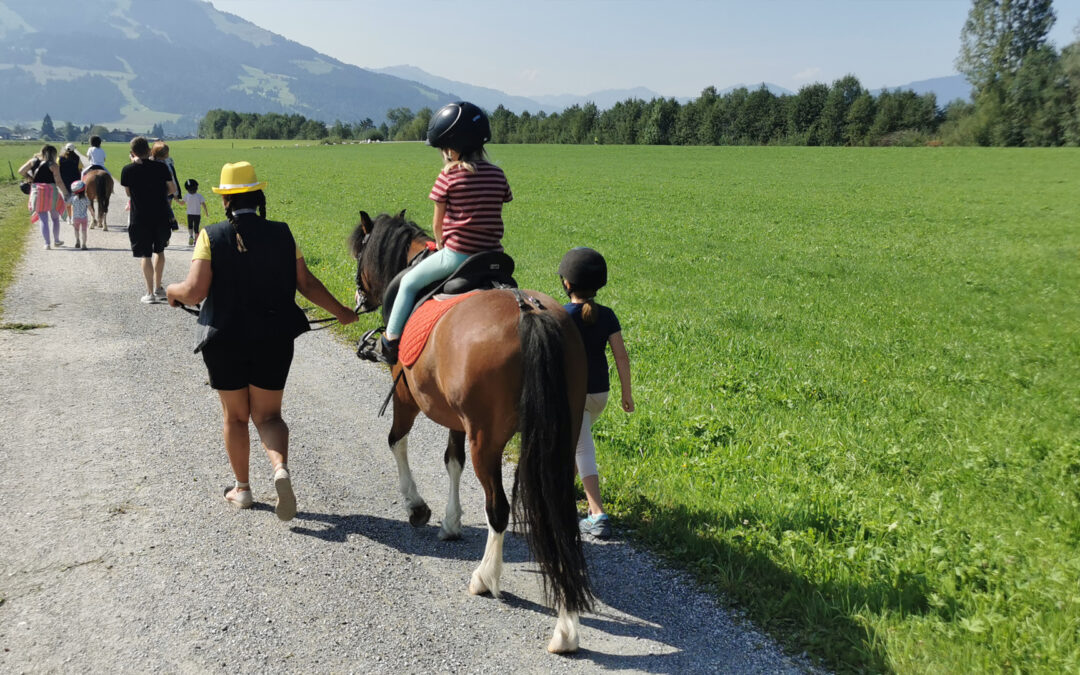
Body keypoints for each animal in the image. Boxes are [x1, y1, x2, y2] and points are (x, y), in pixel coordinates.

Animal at [349, 211, 591, 652]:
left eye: (361, 251)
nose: (358, 297)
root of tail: (527, 310)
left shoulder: (406, 395)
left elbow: (396, 442)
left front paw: (417, 507)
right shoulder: (455, 418)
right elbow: (452, 461)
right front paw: (451, 521)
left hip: (487, 439)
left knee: (498, 509)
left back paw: (485, 578)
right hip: (560, 438)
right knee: (557, 512)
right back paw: (566, 627)